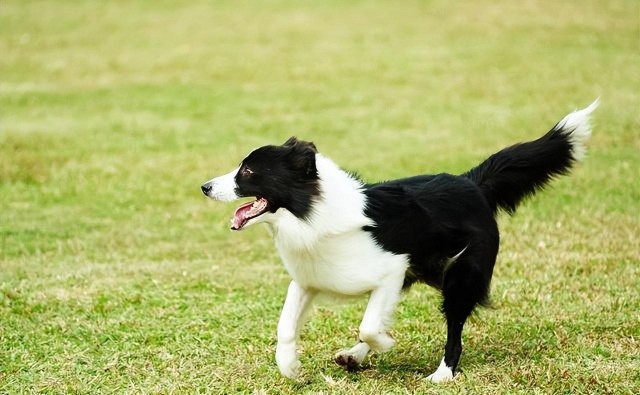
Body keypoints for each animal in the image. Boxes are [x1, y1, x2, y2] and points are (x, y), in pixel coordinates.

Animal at [201, 100, 600, 384]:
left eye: (248, 171)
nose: (204, 187)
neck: (310, 213)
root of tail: (471, 182)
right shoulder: (308, 280)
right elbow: (285, 327)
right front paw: (292, 368)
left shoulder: (392, 270)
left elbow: (369, 325)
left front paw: (386, 344)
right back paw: (353, 356)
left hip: (460, 276)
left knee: (454, 327)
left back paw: (442, 373)